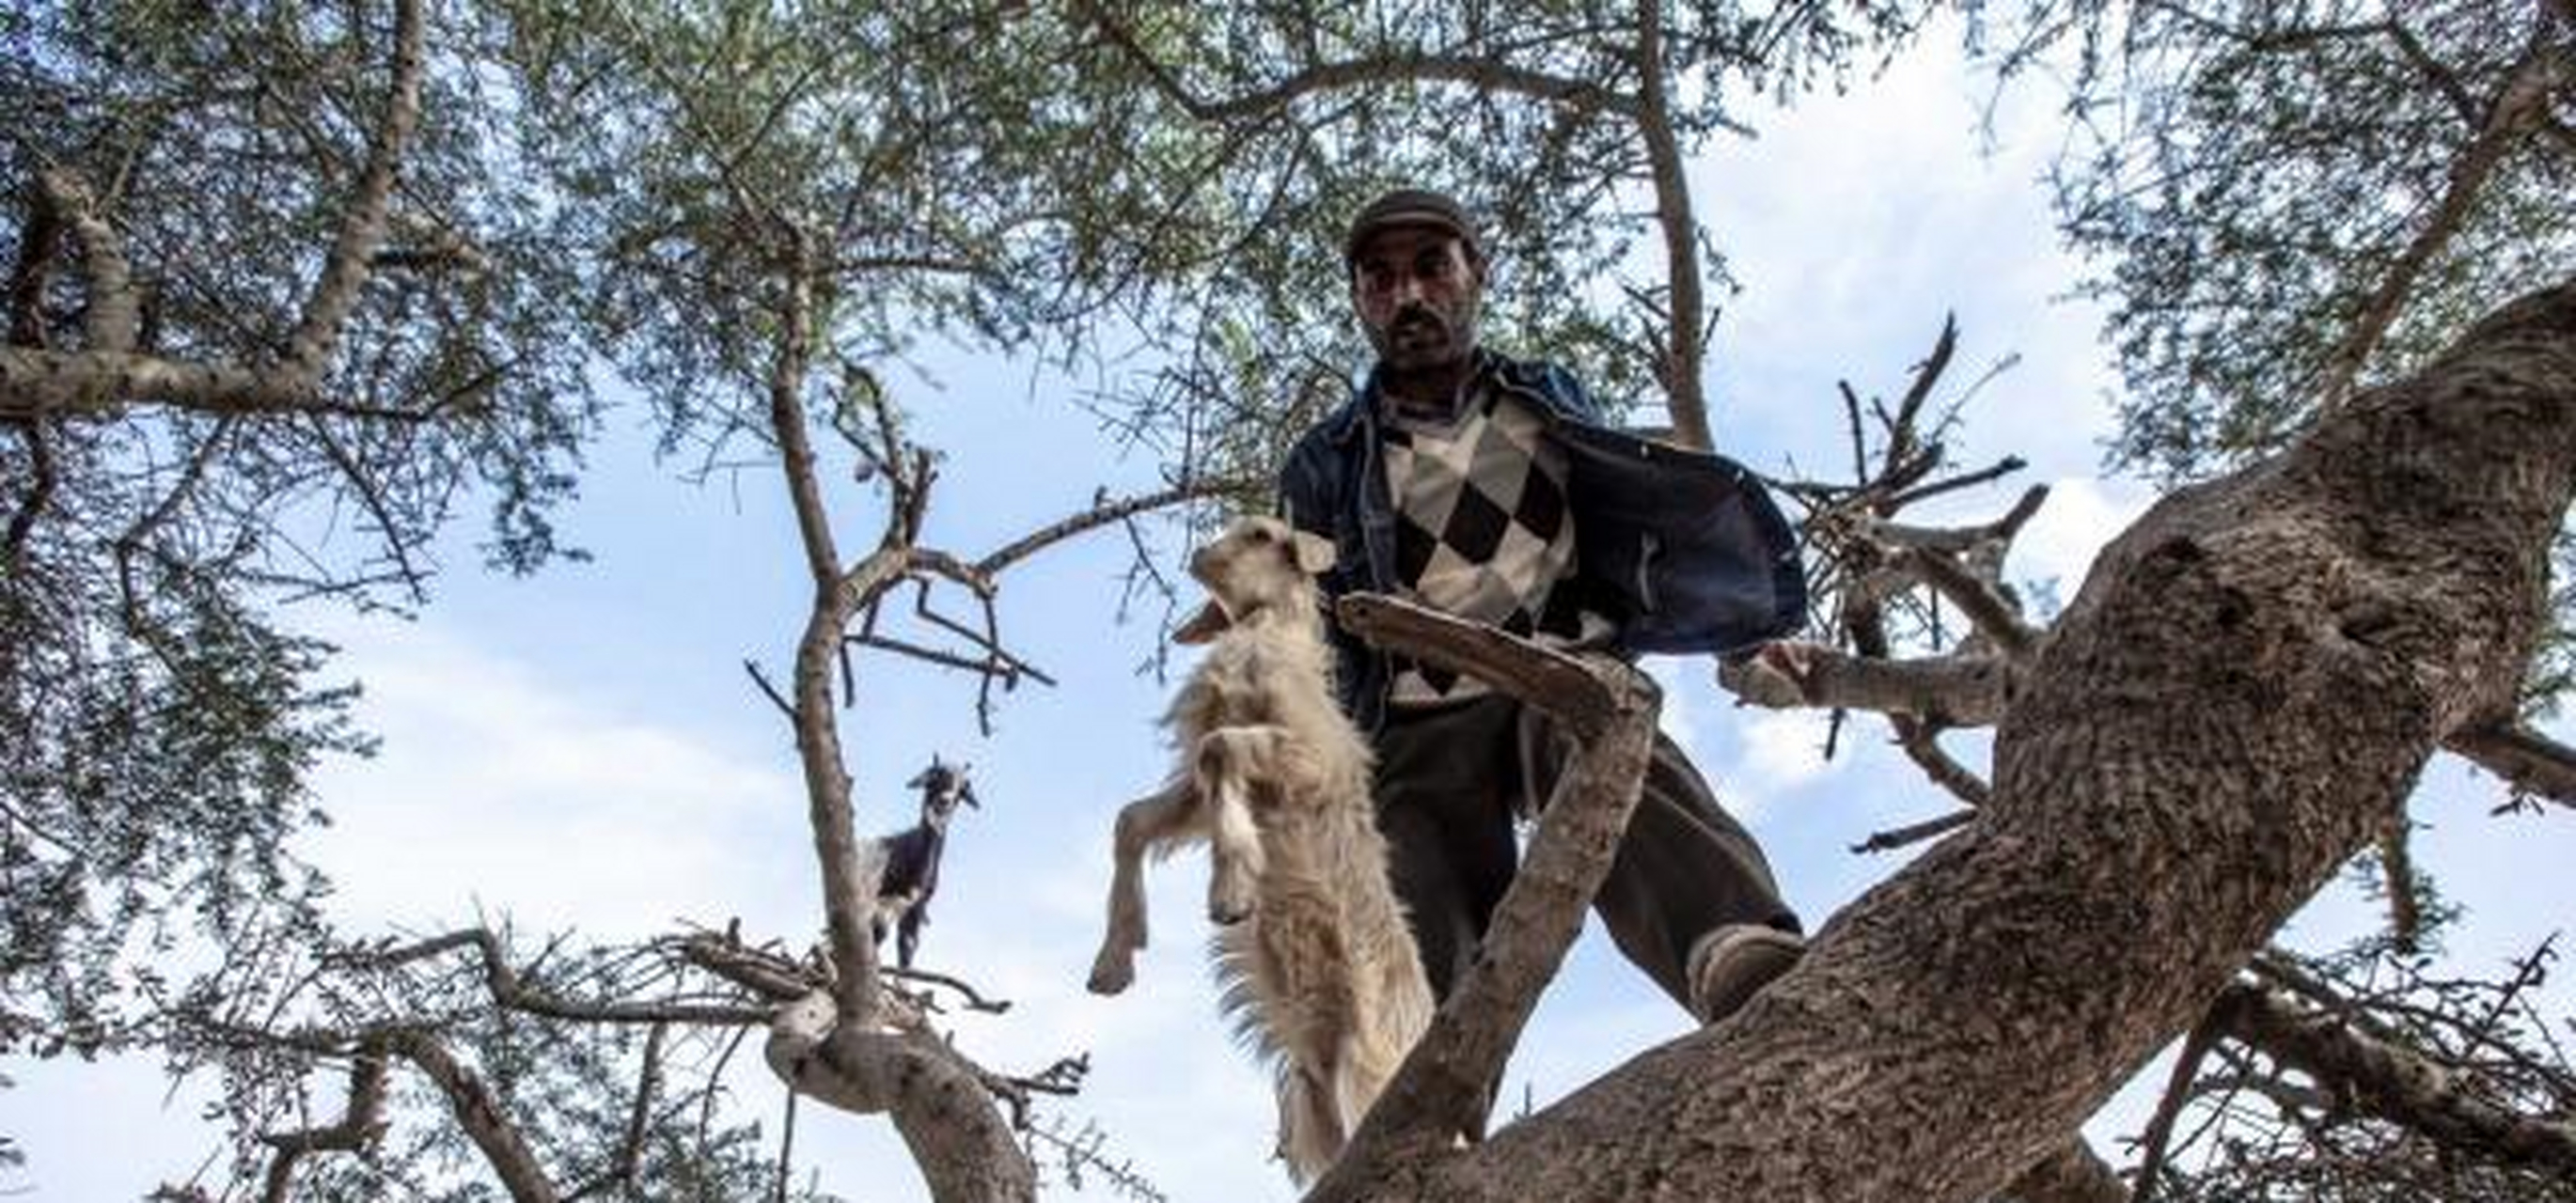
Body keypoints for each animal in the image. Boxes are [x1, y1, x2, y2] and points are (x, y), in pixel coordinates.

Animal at [1087, 512, 1442, 1180]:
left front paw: (1231, 892)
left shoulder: (1305, 760)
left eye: (1261, 534)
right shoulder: (1194, 794)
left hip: (1366, 1069)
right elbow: (1133, 821)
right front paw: (1115, 960)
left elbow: (1220, 748)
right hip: (1316, 1093)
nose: (1201, 557)